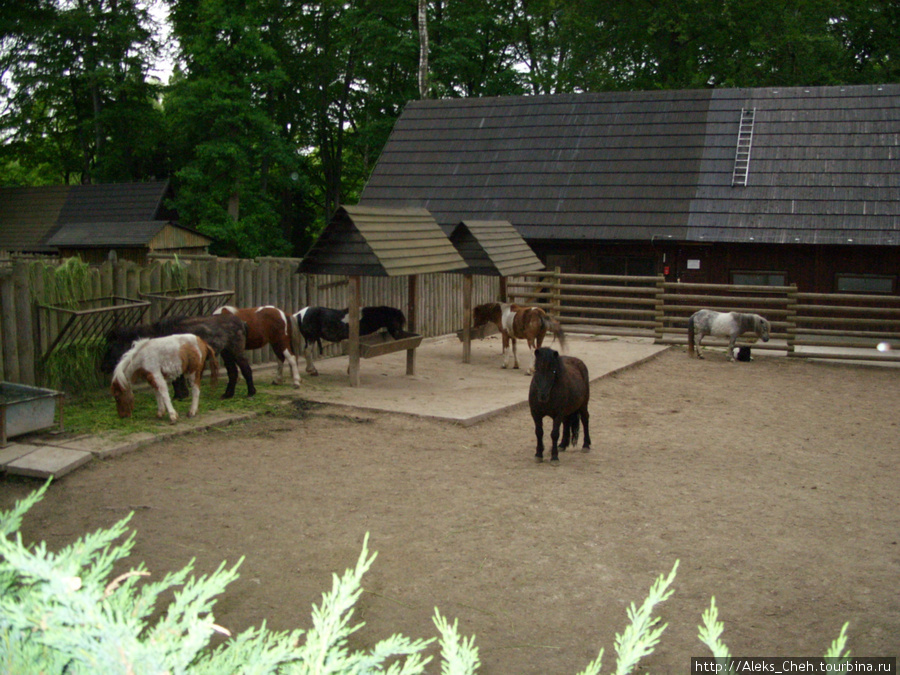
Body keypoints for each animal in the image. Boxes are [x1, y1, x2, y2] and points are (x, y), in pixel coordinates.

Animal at [102, 314, 256, 398]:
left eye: (110, 347)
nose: (103, 367)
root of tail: (243, 323)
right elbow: (178, 379)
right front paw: (181, 395)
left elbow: (176, 380)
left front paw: (180, 396)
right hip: (226, 353)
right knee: (233, 372)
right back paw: (227, 394)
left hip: (236, 351)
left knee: (246, 369)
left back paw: (251, 392)